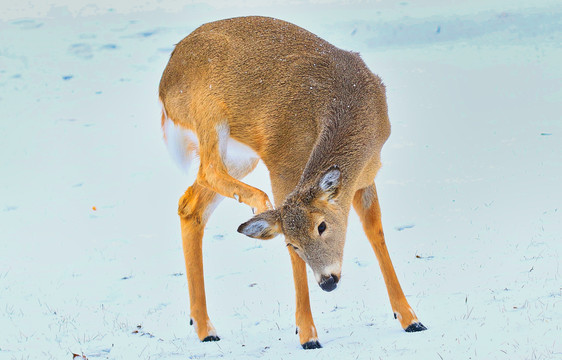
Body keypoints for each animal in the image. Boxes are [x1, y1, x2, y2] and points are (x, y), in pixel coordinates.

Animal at [158, 14, 424, 348]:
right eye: (293, 244)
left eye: (322, 226)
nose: (328, 282)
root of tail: (164, 83)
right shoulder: (282, 165)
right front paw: (307, 334)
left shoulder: (367, 175)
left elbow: (376, 233)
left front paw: (411, 319)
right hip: (207, 109)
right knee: (207, 169)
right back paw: (258, 202)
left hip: (240, 154)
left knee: (190, 205)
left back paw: (205, 328)